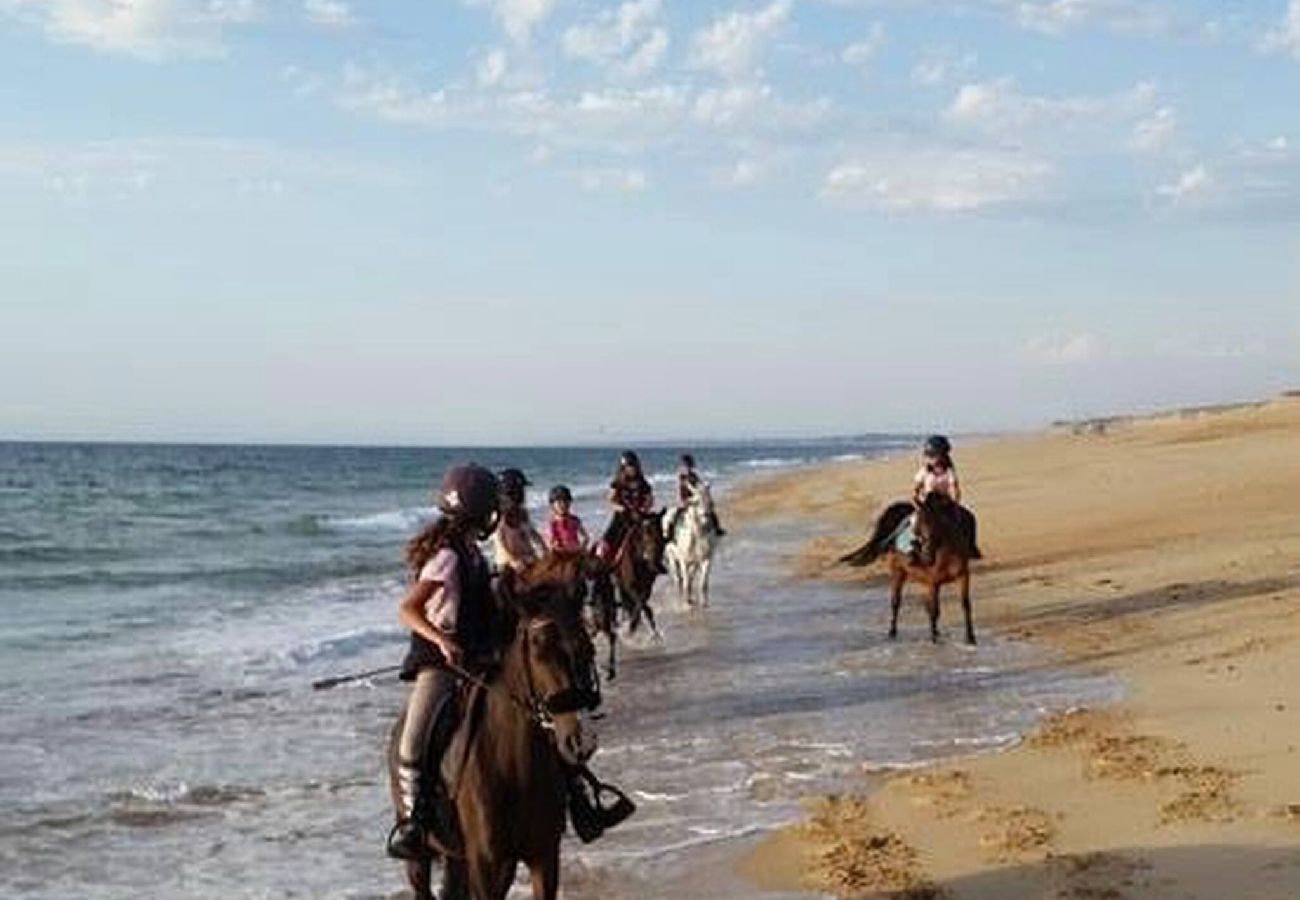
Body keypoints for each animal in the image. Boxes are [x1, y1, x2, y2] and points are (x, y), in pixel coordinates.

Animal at [384, 561, 603, 900]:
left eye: (587, 647)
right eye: (538, 649)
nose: (580, 741)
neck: (512, 765)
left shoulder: (543, 856)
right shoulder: (487, 865)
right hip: (421, 859)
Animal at [837, 491, 977, 647]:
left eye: (937, 523)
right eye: (918, 526)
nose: (926, 556)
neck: (946, 553)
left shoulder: (963, 576)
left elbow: (965, 605)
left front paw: (970, 638)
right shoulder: (932, 582)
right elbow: (934, 610)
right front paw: (934, 640)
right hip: (898, 573)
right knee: (896, 602)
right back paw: (892, 632)